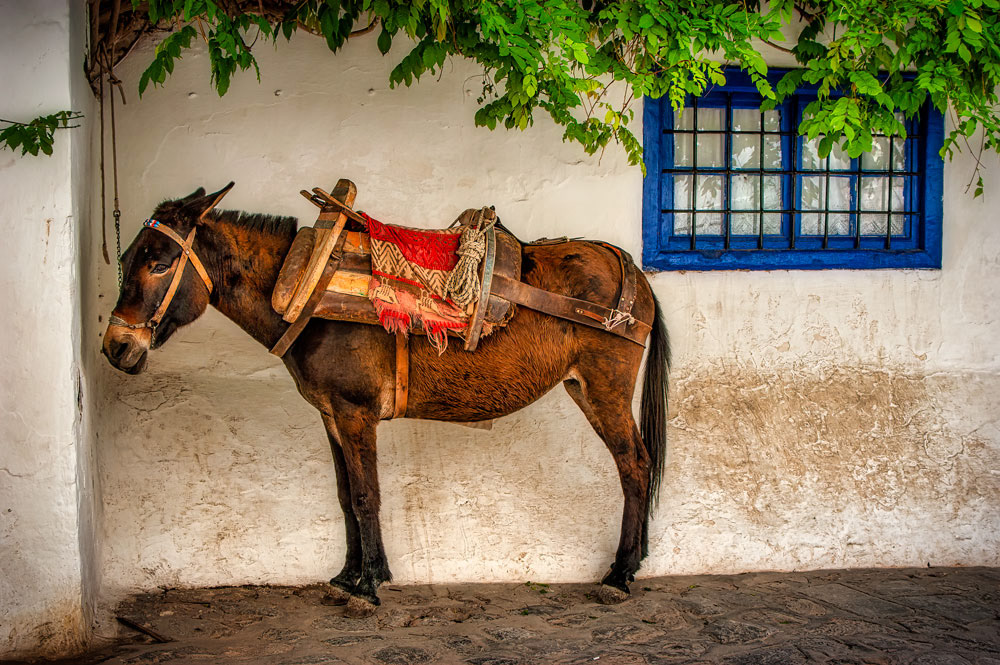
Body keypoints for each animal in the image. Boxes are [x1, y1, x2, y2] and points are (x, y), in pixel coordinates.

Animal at [102, 184, 670, 616]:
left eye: (161, 264)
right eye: (127, 259)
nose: (115, 348)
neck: (307, 286)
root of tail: (627, 265)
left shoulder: (355, 413)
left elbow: (365, 495)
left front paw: (369, 585)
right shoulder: (330, 414)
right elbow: (343, 495)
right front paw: (347, 577)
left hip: (605, 389)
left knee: (635, 466)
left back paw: (620, 574)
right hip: (584, 388)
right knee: (636, 465)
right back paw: (634, 563)